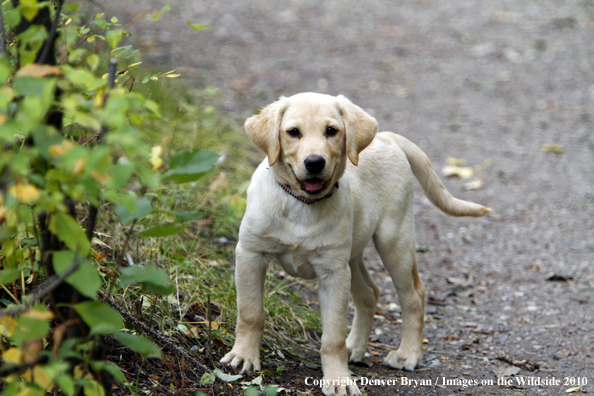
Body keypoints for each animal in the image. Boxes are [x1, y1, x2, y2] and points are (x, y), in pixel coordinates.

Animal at [220, 93, 488, 396]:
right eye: (293, 132)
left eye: (331, 131)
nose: (315, 162)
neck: (302, 205)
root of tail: (386, 137)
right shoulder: (250, 254)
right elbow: (250, 312)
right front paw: (243, 357)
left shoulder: (333, 273)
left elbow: (333, 334)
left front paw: (338, 379)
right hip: (353, 253)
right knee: (370, 293)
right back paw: (355, 347)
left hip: (394, 240)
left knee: (413, 295)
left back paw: (407, 354)